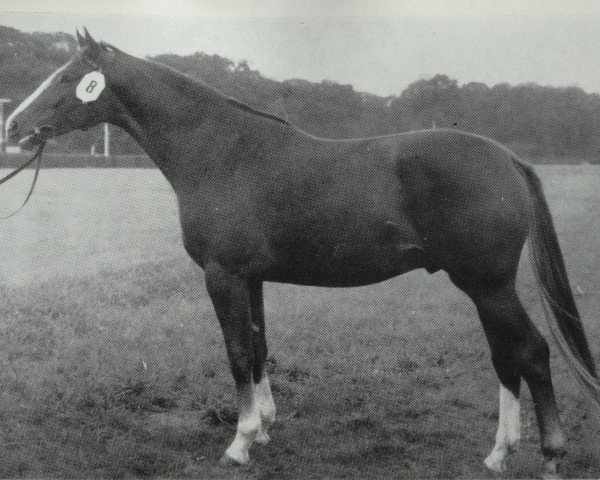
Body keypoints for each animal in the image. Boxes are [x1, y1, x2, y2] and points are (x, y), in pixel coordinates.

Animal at [5, 30, 600, 476]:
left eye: (66, 78)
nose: (12, 126)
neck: (221, 151)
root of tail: (508, 160)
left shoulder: (223, 276)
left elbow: (236, 353)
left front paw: (239, 443)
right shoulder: (251, 279)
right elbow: (259, 348)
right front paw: (264, 428)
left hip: (486, 284)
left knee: (530, 352)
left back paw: (546, 455)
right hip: (483, 287)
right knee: (507, 355)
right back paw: (500, 454)